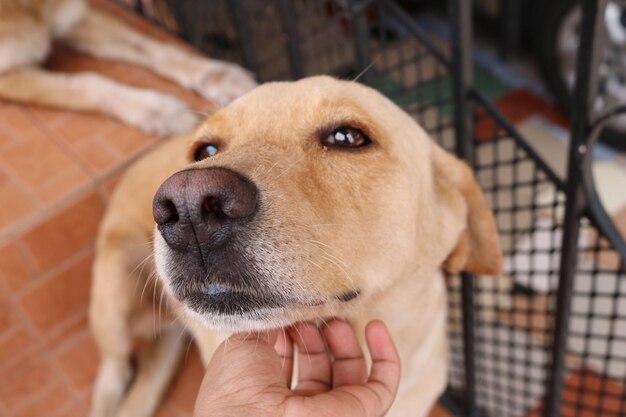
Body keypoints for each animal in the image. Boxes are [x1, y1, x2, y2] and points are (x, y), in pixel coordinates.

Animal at [0, 0, 256, 135]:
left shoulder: (77, 15)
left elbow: (153, 47)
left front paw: (217, 76)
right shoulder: (7, 75)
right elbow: (87, 83)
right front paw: (158, 111)